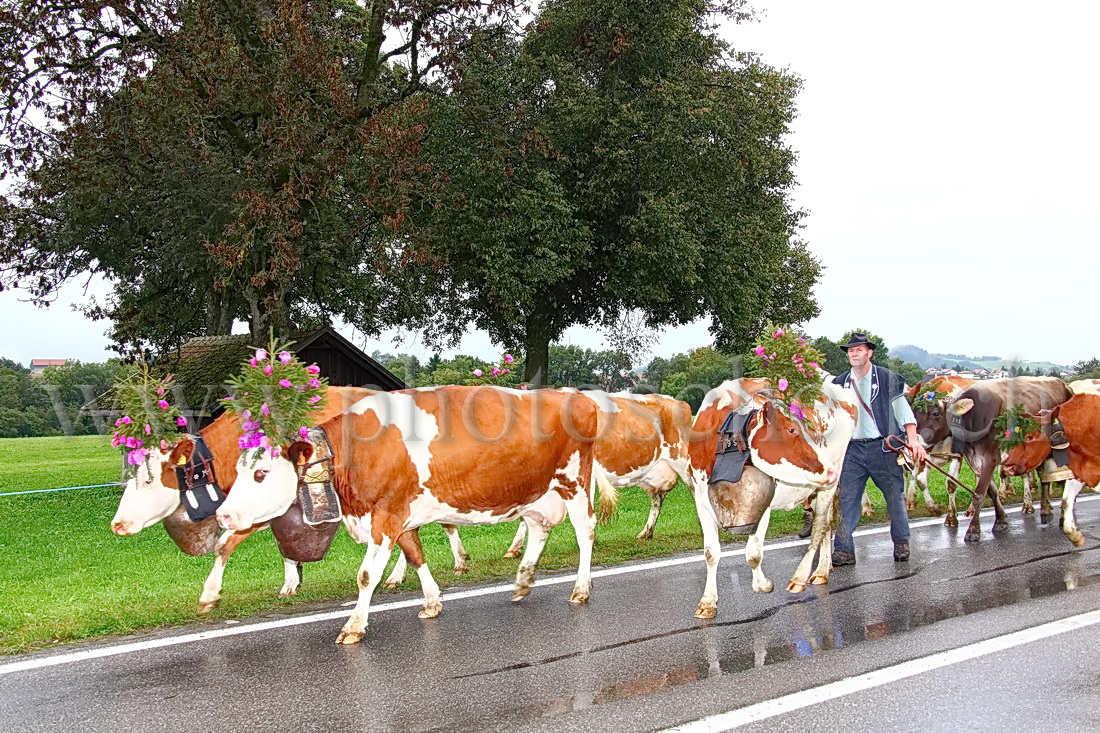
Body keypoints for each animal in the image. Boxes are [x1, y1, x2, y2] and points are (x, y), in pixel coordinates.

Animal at [212, 385, 611, 642]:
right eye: (239, 469)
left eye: (261, 473)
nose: (223, 516)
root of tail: (575, 396)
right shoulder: (398, 518)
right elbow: (416, 555)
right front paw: (432, 602)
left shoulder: (385, 516)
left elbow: (366, 575)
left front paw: (354, 626)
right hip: (533, 493)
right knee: (540, 529)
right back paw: (523, 580)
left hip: (574, 482)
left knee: (584, 532)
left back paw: (580, 589)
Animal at [682, 374, 853, 611]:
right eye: (792, 430)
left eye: (809, 428)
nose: (829, 470)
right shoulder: (701, 500)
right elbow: (710, 552)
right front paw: (707, 603)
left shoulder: (763, 503)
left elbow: (753, 554)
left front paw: (763, 585)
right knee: (827, 524)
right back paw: (822, 570)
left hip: (830, 481)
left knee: (820, 525)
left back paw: (801, 577)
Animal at [924, 376, 1069, 537]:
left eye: (935, 414)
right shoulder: (975, 460)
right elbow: (991, 491)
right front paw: (1001, 521)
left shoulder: (990, 458)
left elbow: (979, 493)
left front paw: (973, 529)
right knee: (1044, 476)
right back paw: (1045, 510)